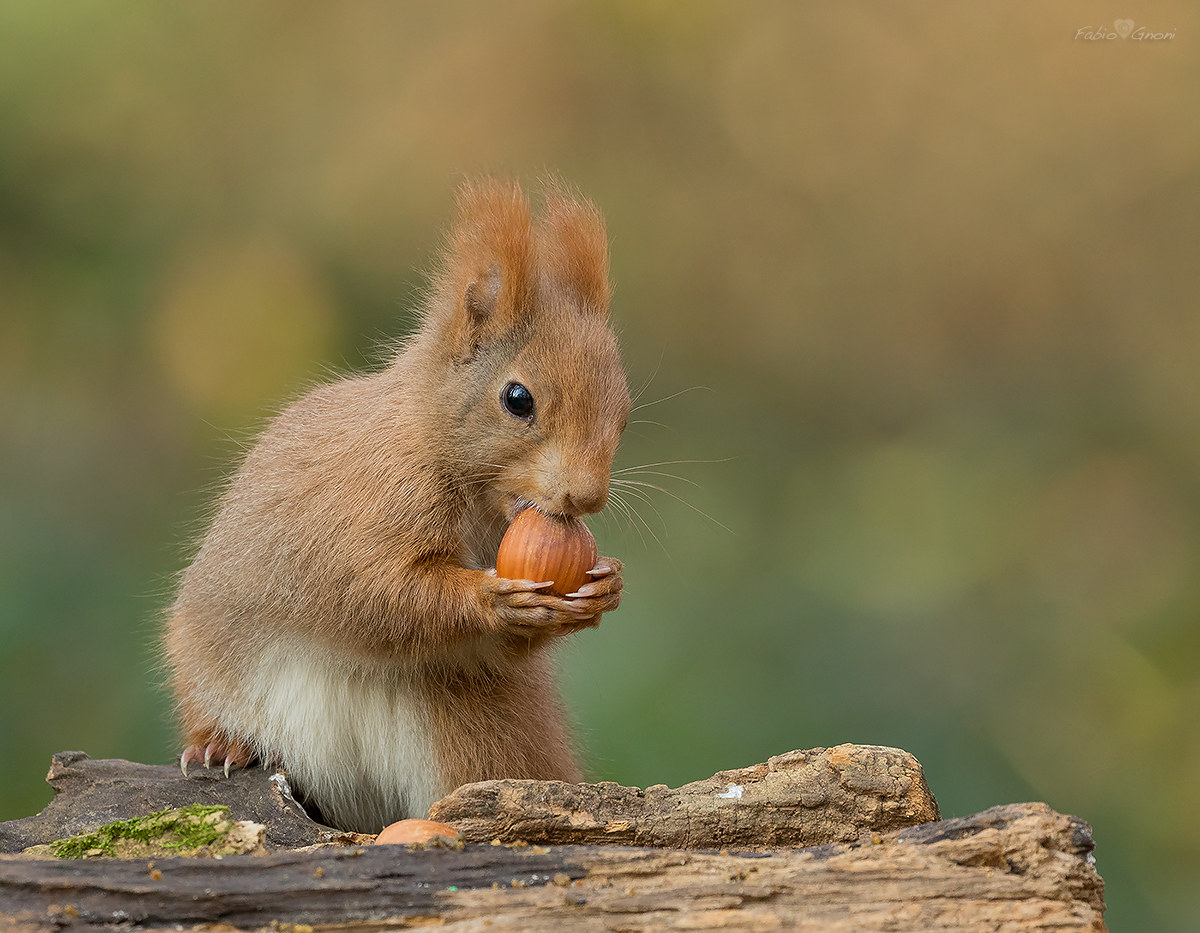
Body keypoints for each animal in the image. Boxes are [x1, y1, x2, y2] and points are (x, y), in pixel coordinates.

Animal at [164, 178, 630, 834]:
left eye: (624, 407)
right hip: (211, 665)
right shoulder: (360, 509)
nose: (587, 496)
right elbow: (373, 593)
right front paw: (491, 598)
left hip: (474, 733)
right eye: (517, 399)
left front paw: (604, 586)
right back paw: (222, 743)